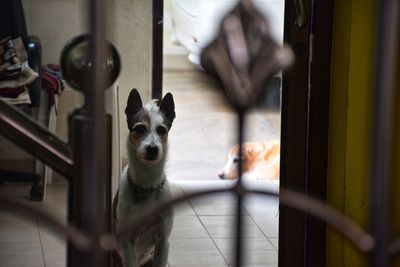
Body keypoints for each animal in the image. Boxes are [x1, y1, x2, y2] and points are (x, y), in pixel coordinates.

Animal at [113, 89, 174, 267]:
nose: (152, 148)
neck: (147, 184)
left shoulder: (162, 241)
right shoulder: (127, 243)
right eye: (139, 129)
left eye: (161, 130)